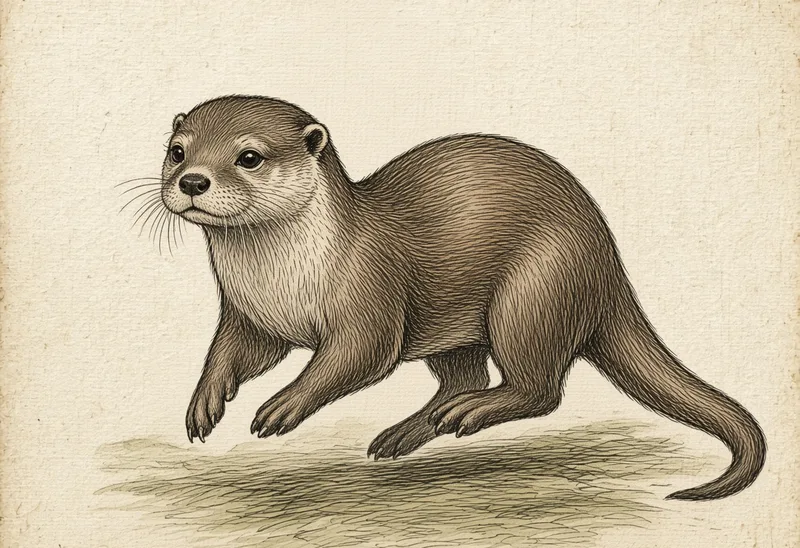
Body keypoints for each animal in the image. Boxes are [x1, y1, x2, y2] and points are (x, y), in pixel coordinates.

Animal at [159, 95, 765, 501]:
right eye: (177, 150)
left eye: (249, 157)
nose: (192, 181)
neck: (286, 278)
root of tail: (609, 264)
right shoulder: (250, 313)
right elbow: (233, 351)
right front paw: (205, 401)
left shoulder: (369, 293)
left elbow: (355, 357)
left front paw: (283, 404)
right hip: (456, 328)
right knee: (465, 376)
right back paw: (409, 431)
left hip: (533, 294)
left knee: (539, 388)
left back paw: (470, 412)